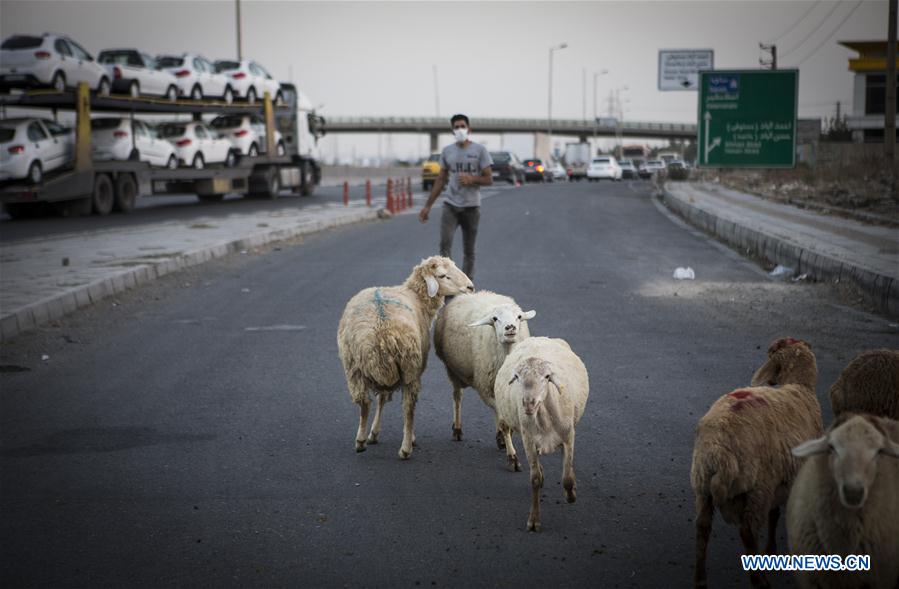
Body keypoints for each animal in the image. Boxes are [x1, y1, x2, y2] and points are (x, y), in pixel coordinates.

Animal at [434, 290, 536, 468]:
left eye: (519, 317)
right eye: (495, 319)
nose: (510, 328)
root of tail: (474, 294)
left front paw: (505, 441)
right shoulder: (485, 390)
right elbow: (504, 423)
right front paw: (512, 458)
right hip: (452, 371)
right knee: (457, 397)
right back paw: (457, 429)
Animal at [492, 336, 592, 532]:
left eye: (547, 377)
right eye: (517, 377)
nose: (528, 403)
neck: (545, 417)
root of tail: (537, 338)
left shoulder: (569, 436)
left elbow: (567, 478)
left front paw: (571, 495)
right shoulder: (528, 440)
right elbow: (535, 479)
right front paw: (534, 520)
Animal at [692, 336, 828, 588]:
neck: (800, 387)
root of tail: (718, 447)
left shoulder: (781, 478)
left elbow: (775, 515)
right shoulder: (784, 478)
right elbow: (776, 515)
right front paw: (771, 552)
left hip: (702, 484)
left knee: (702, 527)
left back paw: (700, 579)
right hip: (758, 487)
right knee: (747, 531)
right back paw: (760, 579)